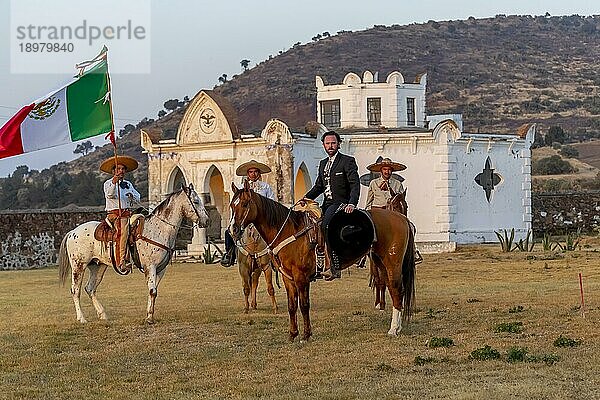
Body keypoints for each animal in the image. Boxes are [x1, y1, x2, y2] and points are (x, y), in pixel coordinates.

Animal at [58, 186, 209, 324]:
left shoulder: (161, 269)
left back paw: (103, 315)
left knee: (90, 288)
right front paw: (149, 318)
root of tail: (72, 232)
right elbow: (152, 291)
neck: (158, 229)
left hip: (98, 266)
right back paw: (81, 318)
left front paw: (149, 315)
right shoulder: (150, 267)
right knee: (75, 290)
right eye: (196, 201)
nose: (206, 220)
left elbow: (154, 291)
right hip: (78, 266)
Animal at [227, 181, 414, 340]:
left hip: (393, 263)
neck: (289, 230)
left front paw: (306, 335)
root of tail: (400, 218)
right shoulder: (288, 278)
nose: (233, 229)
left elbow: (304, 305)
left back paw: (393, 329)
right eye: (231, 205)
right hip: (380, 262)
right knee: (391, 288)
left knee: (397, 290)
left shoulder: (301, 277)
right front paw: (293, 334)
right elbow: (291, 306)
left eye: (245, 204)